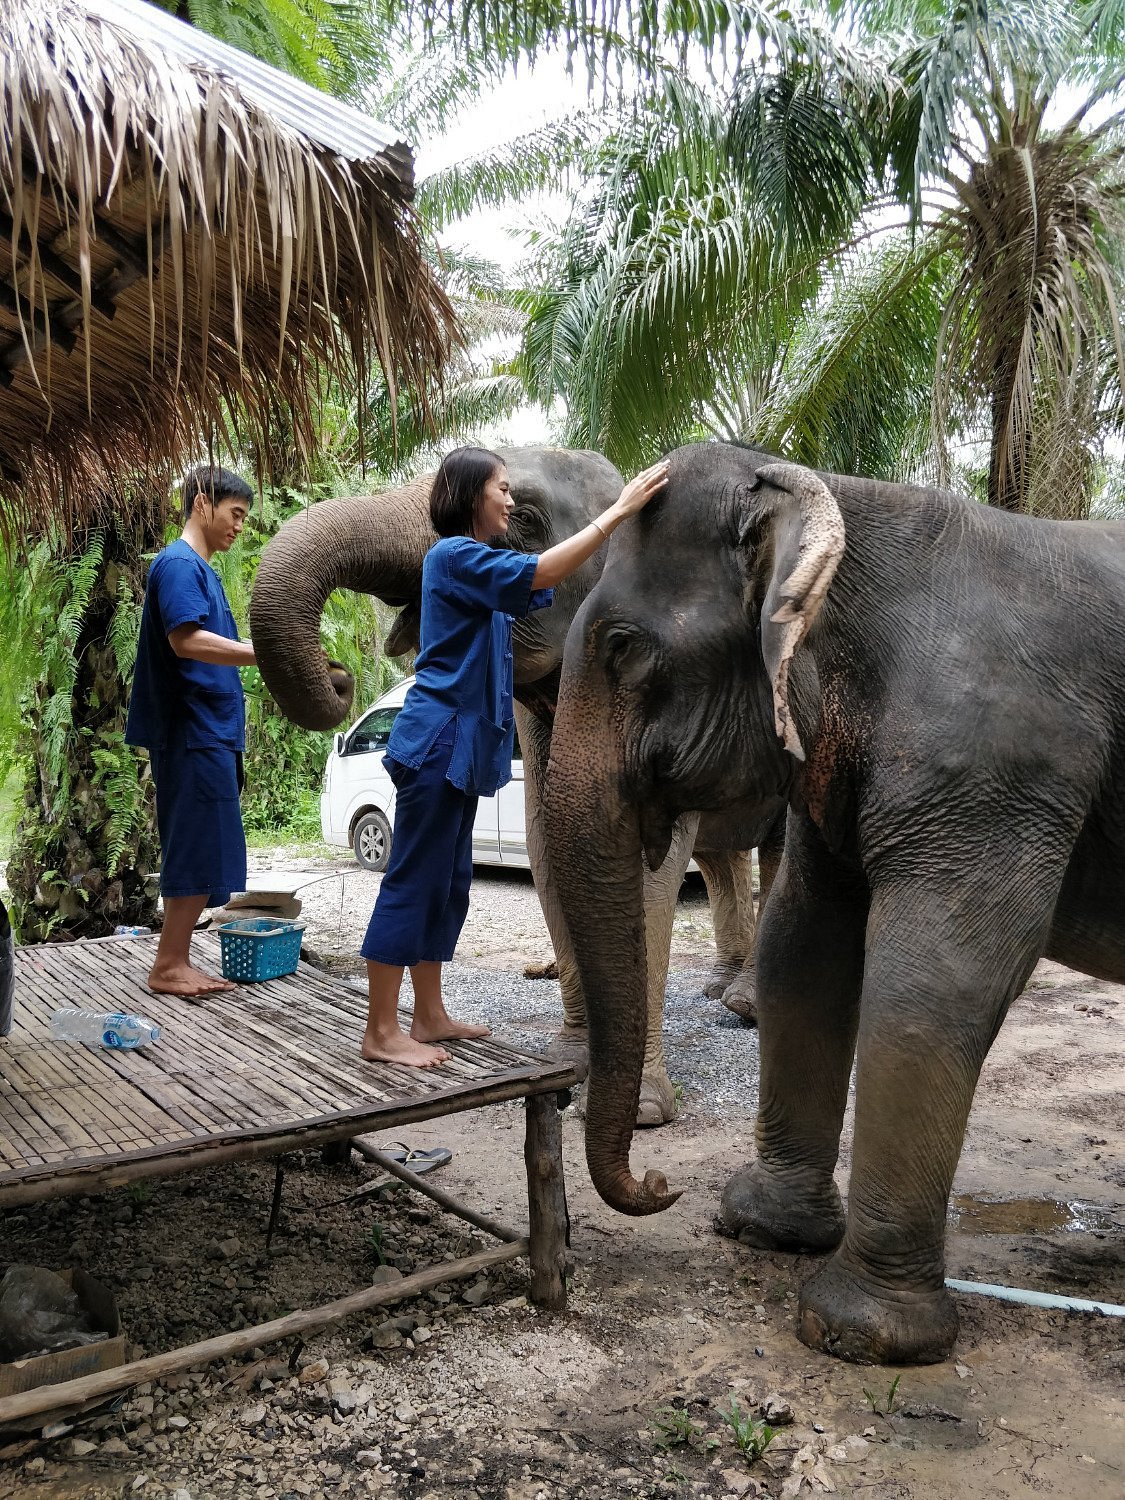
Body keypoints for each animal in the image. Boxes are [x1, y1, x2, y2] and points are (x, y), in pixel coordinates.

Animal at [540, 438, 1125, 1368]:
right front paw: (760, 1227)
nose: (661, 1183)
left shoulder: (995, 766)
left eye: (624, 646)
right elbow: (803, 950)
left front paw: (854, 1335)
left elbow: (931, 986)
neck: (843, 503)